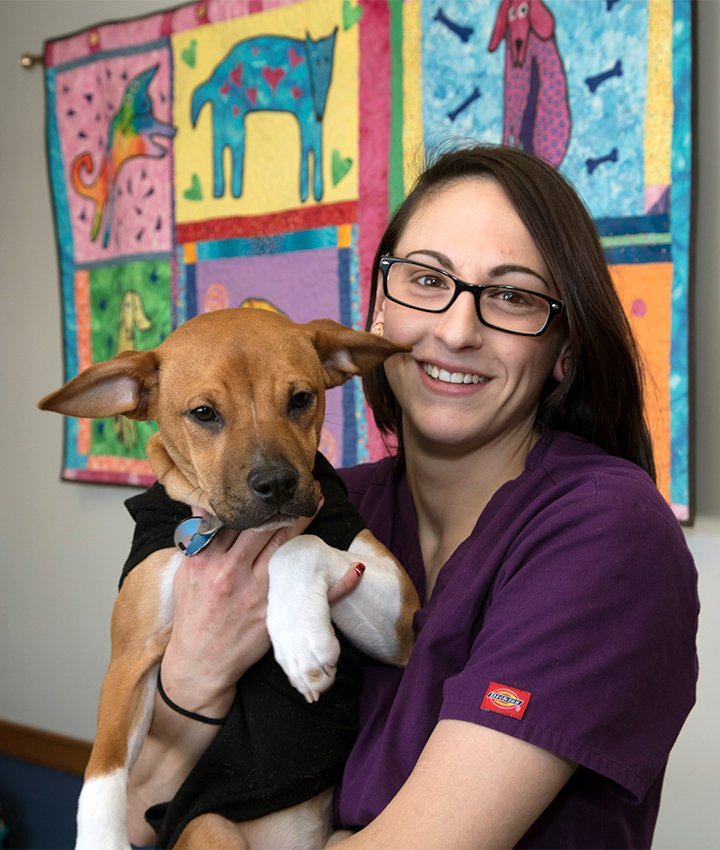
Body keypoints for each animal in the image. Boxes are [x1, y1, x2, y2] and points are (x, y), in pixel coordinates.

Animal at [39, 306, 420, 848]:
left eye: (300, 399)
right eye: (204, 414)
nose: (277, 484)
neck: (221, 528)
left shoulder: (398, 615)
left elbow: (299, 544)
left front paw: (301, 640)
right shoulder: (129, 656)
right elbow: (103, 772)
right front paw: (100, 840)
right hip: (208, 824)